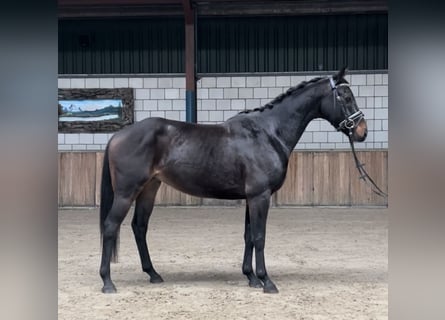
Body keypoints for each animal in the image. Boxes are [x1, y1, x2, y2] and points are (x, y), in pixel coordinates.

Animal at [99, 69, 368, 294]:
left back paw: (153, 274)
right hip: (126, 192)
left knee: (139, 227)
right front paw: (267, 281)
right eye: (345, 96)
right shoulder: (260, 196)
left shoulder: (252, 197)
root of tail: (118, 135)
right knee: (111, 226)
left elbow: (248, 235)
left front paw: (251, 277)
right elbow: (260, 236)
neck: (268, 133)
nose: (362, 131)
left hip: (149, 189)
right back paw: (107, 282)